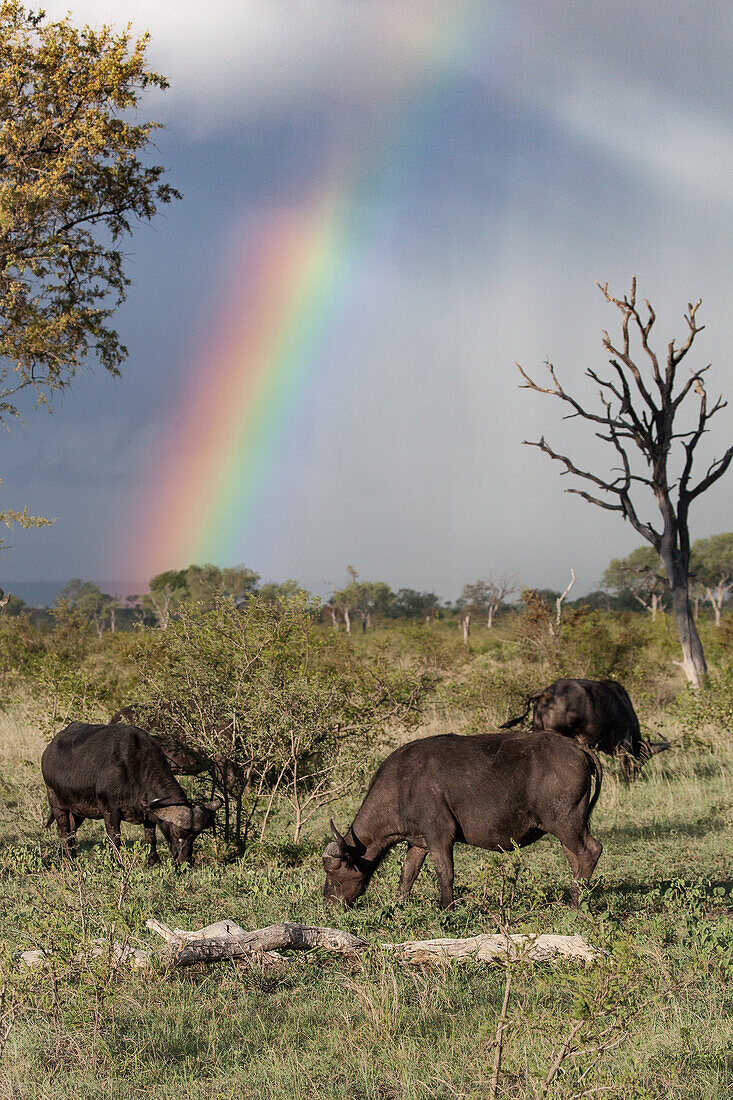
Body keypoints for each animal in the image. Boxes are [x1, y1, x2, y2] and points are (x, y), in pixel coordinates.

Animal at [40, 721, 220, 866]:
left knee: (71, 831)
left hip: (77, 811)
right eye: (177, 832)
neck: (133, 769)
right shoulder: (110, 812)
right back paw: (69, 860)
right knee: (64, 832)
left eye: (195, 836)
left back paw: (72, 857)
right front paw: (117, 863)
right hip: (56, 803)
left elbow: (150, 837)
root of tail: (48, 751)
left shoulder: (148, 812)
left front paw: (153, 861)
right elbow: (115, 838)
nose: (185, 860)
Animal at [323, 730, 603, 910]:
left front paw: (446, 909)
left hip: (567, 824)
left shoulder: (439, 835)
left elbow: (445, 872)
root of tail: (575, 746)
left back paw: (575, 904)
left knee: (590, 851)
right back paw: (577, 897)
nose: (328, 903)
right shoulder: (418, 842)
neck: (402, 785)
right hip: (568, 830)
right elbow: (408, 874)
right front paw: (397, 904)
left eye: (330, 871)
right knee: (576, 859)